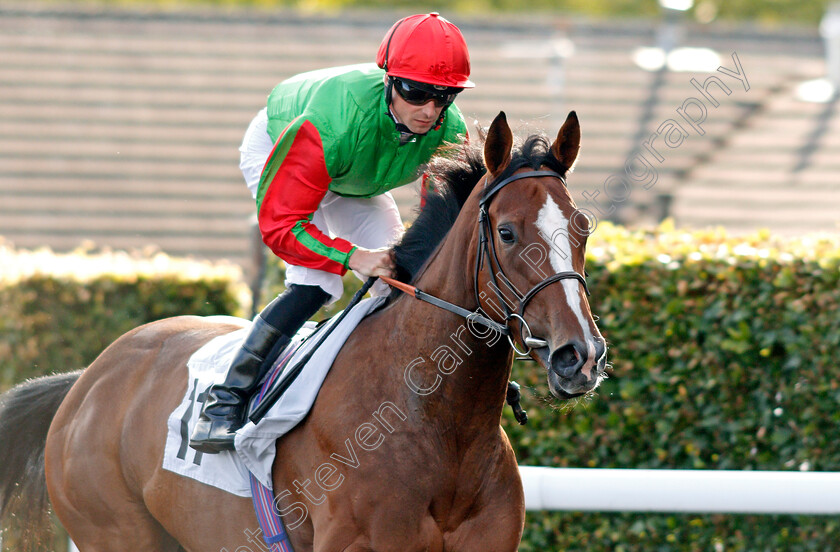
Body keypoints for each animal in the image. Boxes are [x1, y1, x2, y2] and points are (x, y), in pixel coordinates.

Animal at [0, 110, 604, 548]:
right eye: (506, 232)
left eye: (582, 227)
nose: (580, 356)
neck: (437, 424)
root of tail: (87, 380)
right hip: (115, 529)